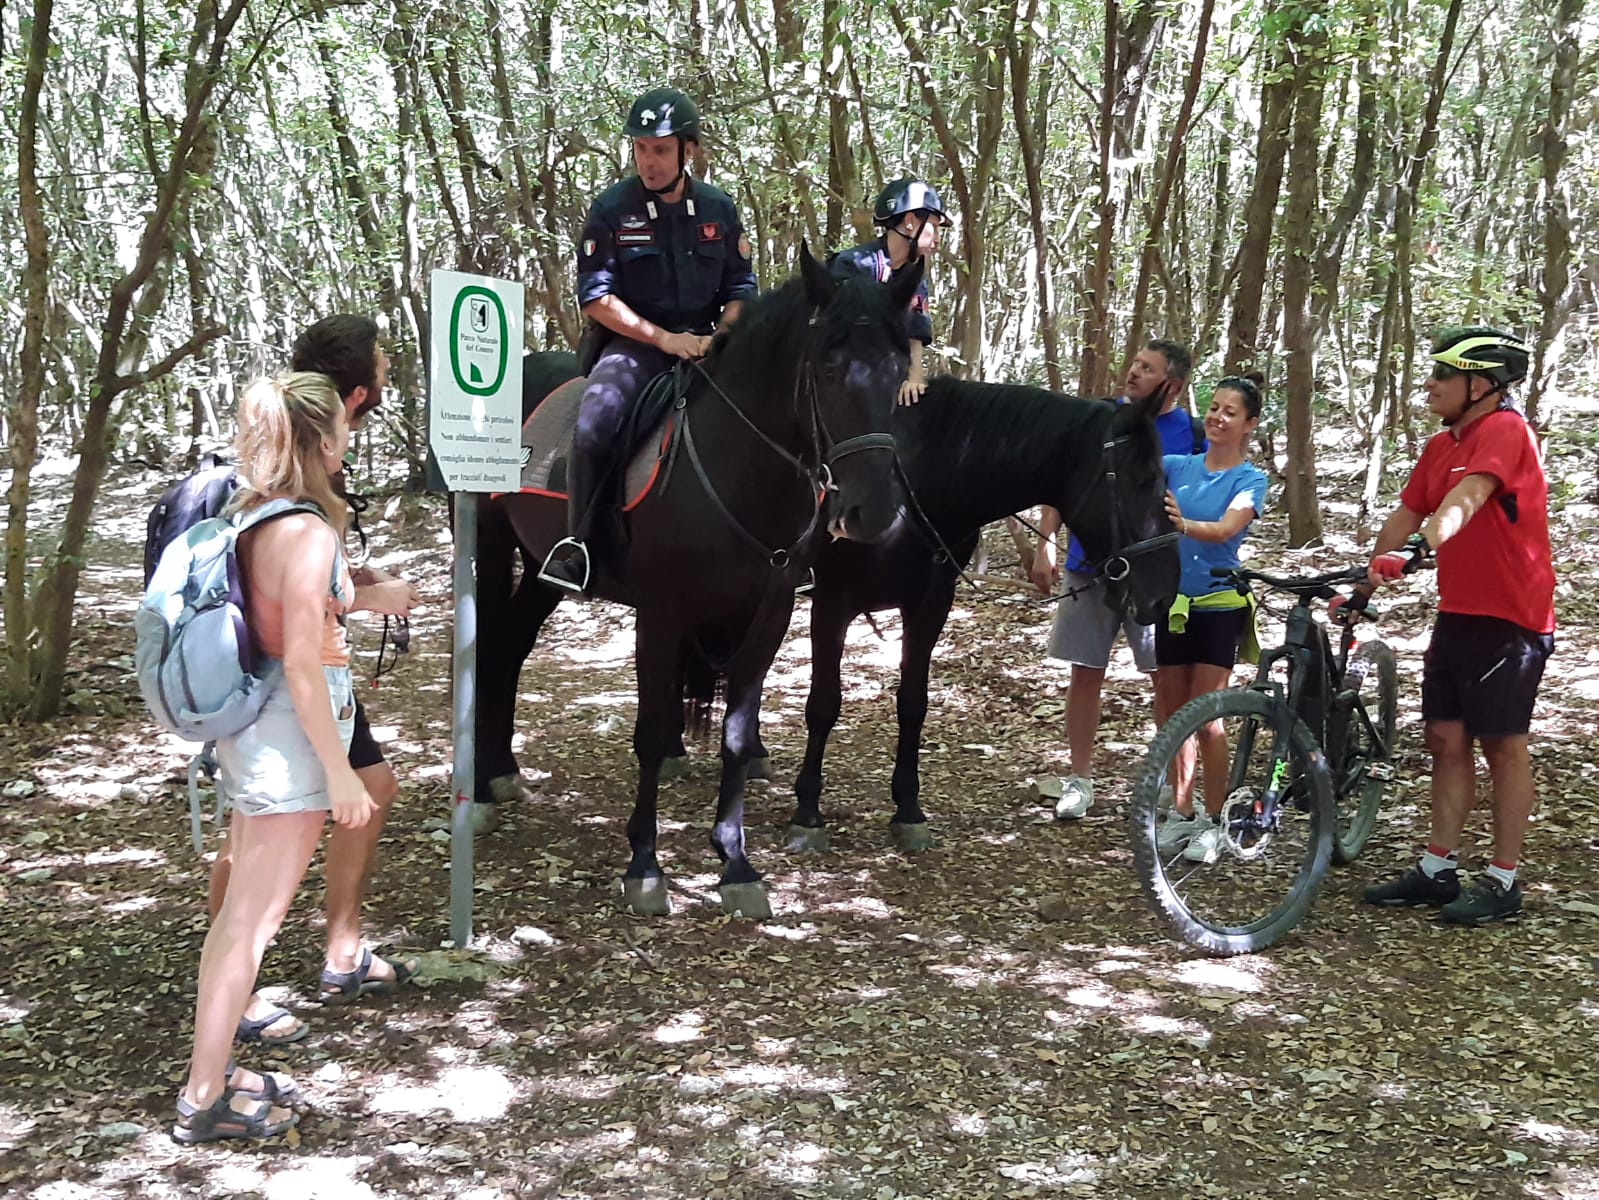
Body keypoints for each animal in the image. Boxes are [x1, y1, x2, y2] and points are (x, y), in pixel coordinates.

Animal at [473, 247, 924, 919]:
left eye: (899, 371)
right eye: (828, 368)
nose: (871, 513)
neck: (732, 466)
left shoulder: (769, 616)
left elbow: (736, 737)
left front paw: (735, 863)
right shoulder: (662, 615)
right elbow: (651, 733)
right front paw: (644, 865)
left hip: (541, 572)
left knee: (509, 647)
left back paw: (503, 771)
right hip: (488, 540)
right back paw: (479, 789)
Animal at [786, 377, 1181, 853]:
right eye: (1141, 480)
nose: (1166, 593)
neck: (913, 487)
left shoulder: (930, 606)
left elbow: (913, 704)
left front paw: (908, 808)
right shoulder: (831, 604)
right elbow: (823, 704)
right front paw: (808, 812)